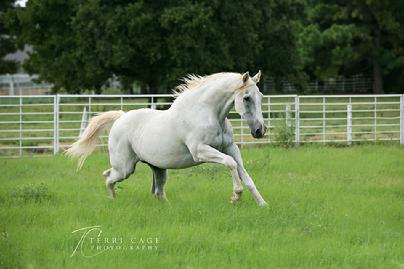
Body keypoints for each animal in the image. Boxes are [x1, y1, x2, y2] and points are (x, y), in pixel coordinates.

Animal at [66, 70, 268, 205]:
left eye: (260, 96)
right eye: (247, 97)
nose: (259, 130)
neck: (206, 113)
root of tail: (121, 117)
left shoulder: (231, 148)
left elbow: (245, 175)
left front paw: (262, 204)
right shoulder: (200, 151)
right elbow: (230, 163)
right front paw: (236, 196)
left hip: (158, 169)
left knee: (158, 192)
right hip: (125, 168)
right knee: (108, 177)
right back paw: (113, 201)